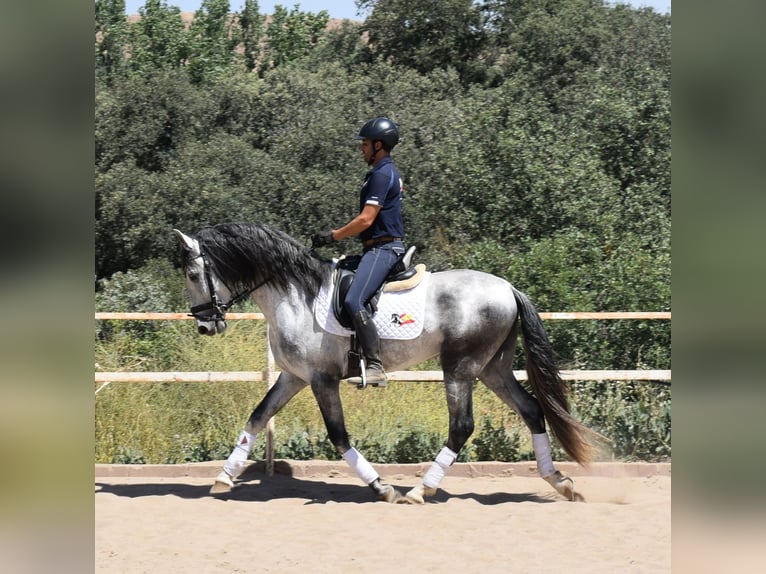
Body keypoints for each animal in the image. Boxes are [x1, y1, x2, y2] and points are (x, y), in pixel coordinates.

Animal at [174, 224, 600, 504]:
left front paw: (382, 486)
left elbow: (338, 435)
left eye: (194, 274)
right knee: (531, 410)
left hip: (461, 366)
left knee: (461, 426)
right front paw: (223, 478)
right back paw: (559, 481)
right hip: (492, 367)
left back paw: (421, 489)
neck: (295, 296)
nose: (205, 325)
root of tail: (508, 288)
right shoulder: (294, 377)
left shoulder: (322, 380)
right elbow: (257, 418)